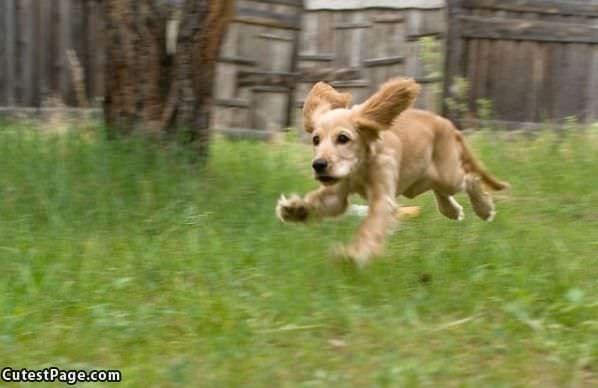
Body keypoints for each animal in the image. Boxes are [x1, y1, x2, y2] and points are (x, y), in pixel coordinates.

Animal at [278, 79, 508, 266]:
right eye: (316, 140)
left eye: (343, 138)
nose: (318, 165)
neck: (360, 167)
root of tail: (447, 124)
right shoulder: (337, 194)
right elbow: (323, 202)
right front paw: (295, 209)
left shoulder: (382, 199)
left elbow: (369, 227)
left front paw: (352, 254)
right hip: (423, 178)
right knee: (441, 191)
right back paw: (451, 210)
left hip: (448, 174)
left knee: (470, 179)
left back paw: (484, 208)